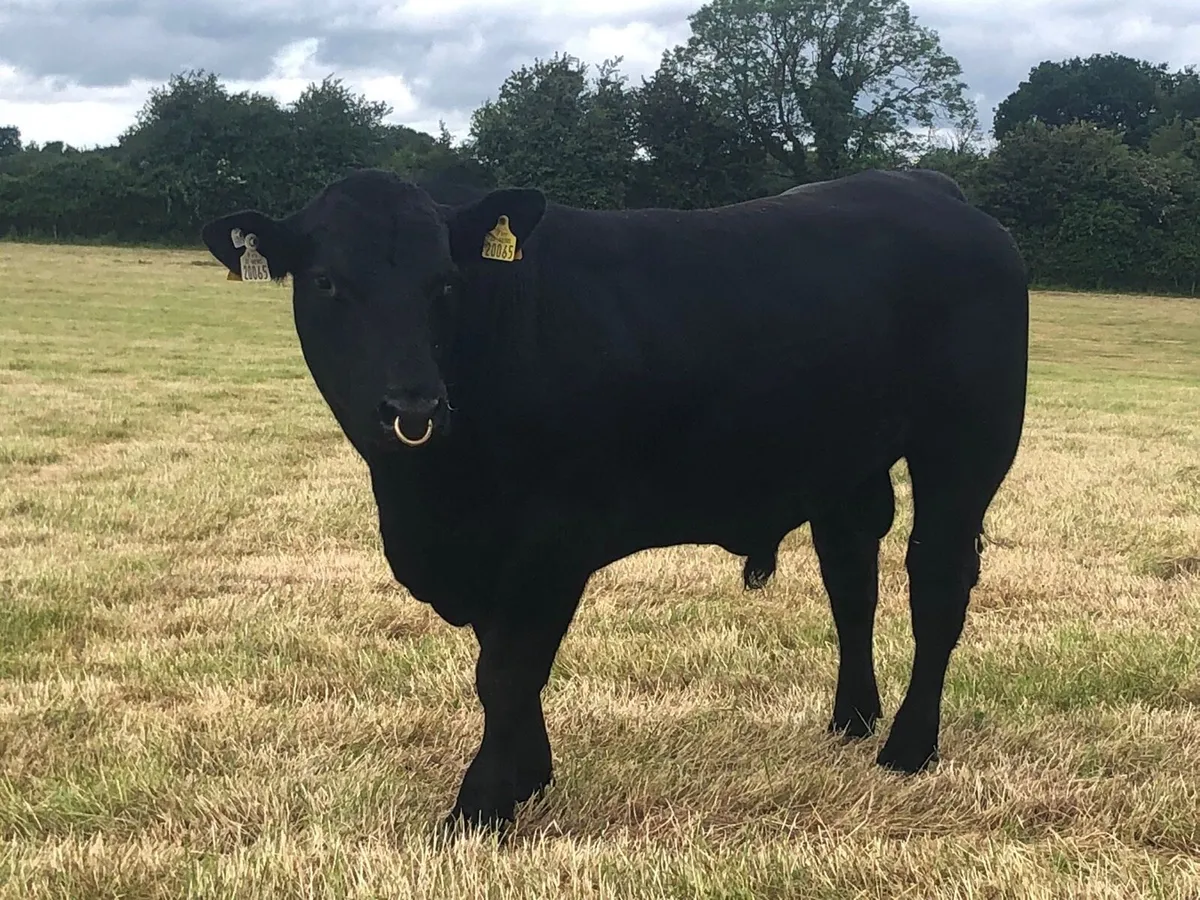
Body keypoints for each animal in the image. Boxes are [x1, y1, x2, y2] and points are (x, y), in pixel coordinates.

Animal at [200, 166, 1029, 835]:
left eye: (445, 283)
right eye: (326, 282)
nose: (413, 405)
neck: (431, 500)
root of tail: (931, 189)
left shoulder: (551, 539)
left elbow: (506, 670)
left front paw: (481, 808)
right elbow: (502, 661)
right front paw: (527, 777)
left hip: (967, 446)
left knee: (936, 586)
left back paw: (908, 747)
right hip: (847, 462)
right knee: (852, 578)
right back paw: (853, 720)